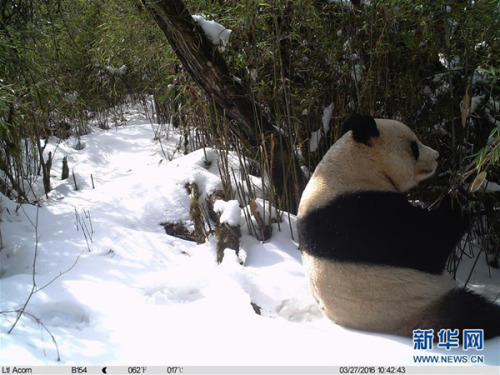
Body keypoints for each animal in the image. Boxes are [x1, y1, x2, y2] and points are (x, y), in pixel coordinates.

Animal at [296, 114, 500, 340]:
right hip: (416, 305)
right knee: (472, 313)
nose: (436, 156)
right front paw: (460, 195)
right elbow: (427, 245)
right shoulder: (359, 213)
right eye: (414, 147)